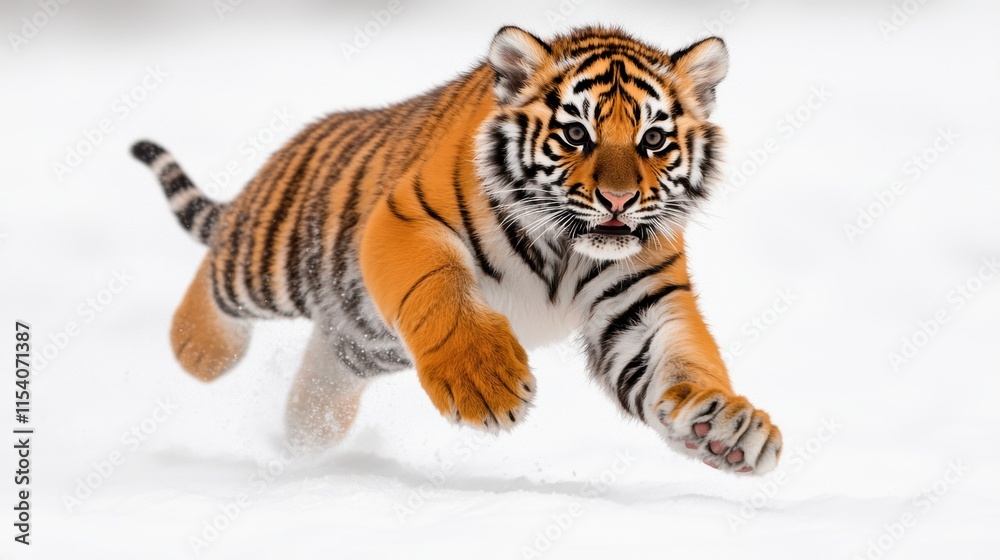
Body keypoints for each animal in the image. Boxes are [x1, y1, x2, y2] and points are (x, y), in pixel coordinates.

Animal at [132, 25, 782, 474]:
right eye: (576, 133)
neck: (569, 247)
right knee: (218, 271)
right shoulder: (407, 222)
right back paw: (200, 348)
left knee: (327, 364)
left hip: (364, 339)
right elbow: (441, 292)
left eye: (654, 140)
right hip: (273, 260)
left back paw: (306, 435)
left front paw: (729, 427)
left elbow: (682, 362)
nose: (619, 199)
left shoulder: (641, 301)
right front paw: (485, 385)